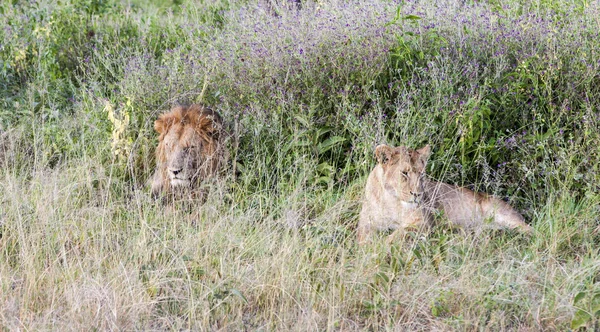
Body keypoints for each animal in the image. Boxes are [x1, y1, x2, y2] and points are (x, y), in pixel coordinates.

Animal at [356, 144, 528, 243]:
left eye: (422, 174)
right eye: (404, 173)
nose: (417, 194)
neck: (392, 200)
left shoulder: (423, 223)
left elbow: (397, 234)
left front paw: (381, 247)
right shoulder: (365, 223)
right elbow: (363, 238)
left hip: (500, 212)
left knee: (529, 230)